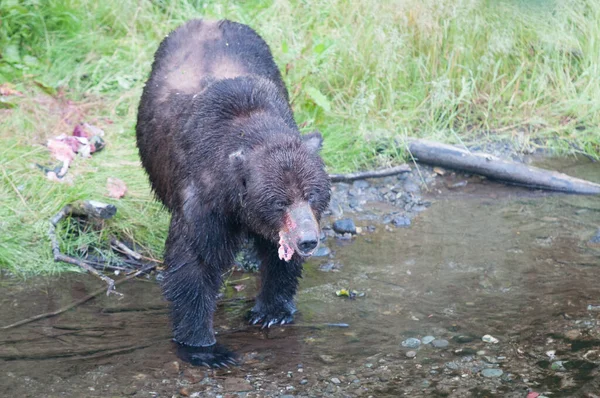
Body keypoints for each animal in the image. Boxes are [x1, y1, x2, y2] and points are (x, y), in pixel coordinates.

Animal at [136, 18, 330, 366]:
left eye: (312, 194)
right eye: (279, 201)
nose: (308, 240)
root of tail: (207, 18)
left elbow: (279, 259)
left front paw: (271, 312)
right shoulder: (205, 200)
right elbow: (195, 262)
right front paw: (206, 348)